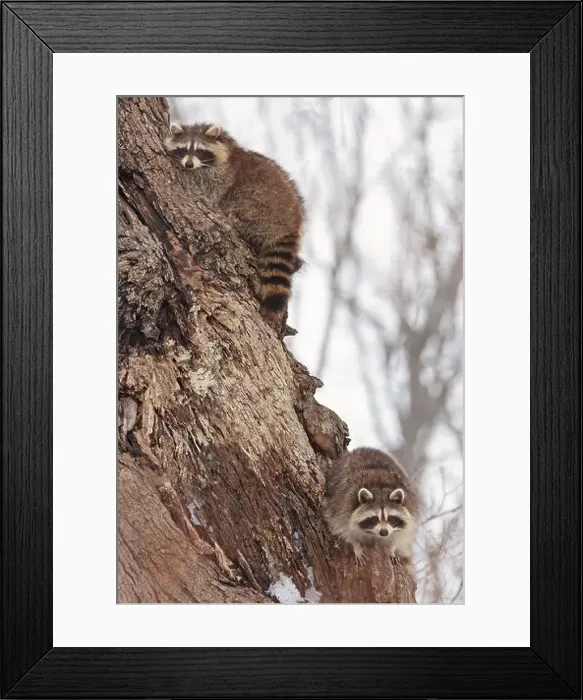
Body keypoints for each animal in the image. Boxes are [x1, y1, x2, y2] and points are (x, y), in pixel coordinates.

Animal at [163, 122, 304, 323]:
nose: (188, 164)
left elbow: (206, 186)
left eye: (199, 151)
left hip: (256, 205)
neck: (227, 150)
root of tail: (292, 223)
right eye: (183, 149)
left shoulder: (220, 177)